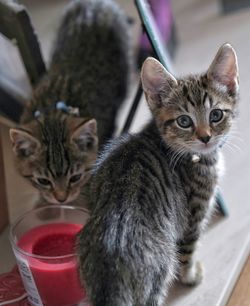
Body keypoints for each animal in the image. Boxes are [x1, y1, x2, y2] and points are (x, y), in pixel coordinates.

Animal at [77, 43, 238, 306]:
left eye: (216, 115)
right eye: (184, 121)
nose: (205, 137)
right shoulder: (193, 217)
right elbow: (188, 252)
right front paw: (190, 276)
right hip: (158, 274)